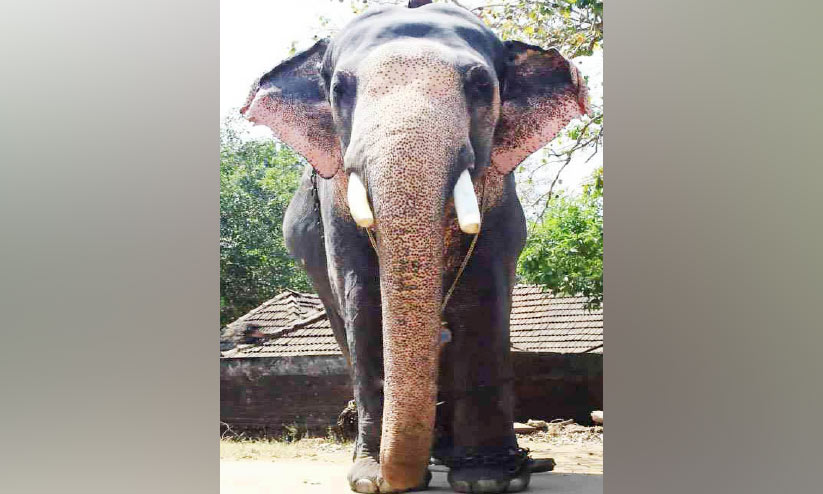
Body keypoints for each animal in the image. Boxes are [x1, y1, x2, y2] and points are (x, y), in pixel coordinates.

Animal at [240, 1, 590, 492]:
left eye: (481, 85)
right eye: (339, 89)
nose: (392, 480)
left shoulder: (499, 188)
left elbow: (481, 291)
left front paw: (487, 479)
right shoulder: (335, 199)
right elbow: (363, 294)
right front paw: (369, 479)